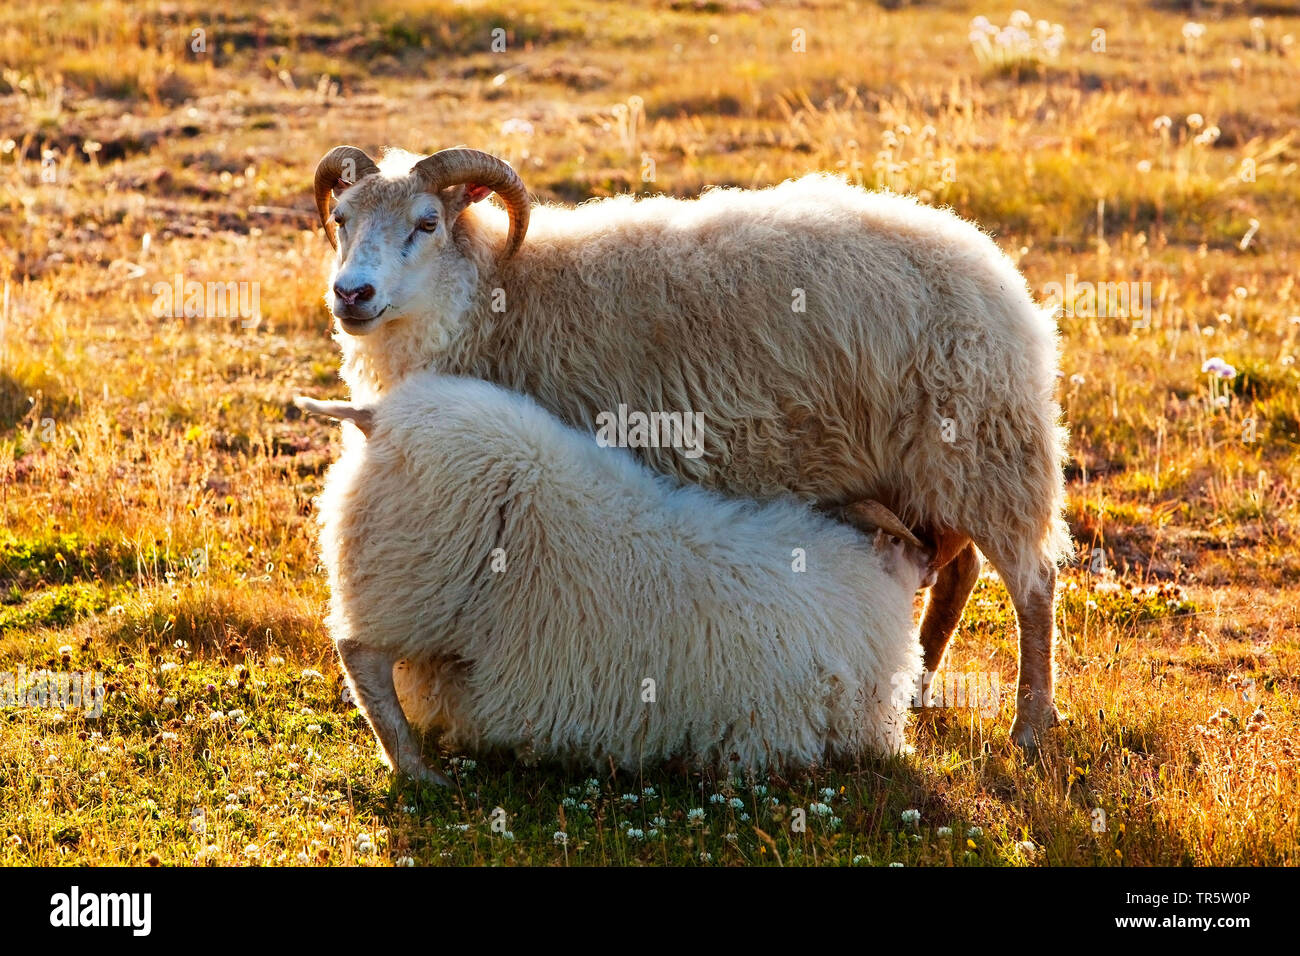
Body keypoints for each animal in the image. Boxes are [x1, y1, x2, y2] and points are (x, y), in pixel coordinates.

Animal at [297, 369, 935, 780]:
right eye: (907, 539)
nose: (929, 563)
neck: (856, 578)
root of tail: (377, 417)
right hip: (412, 579)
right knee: (362, 657)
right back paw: (416, 770)